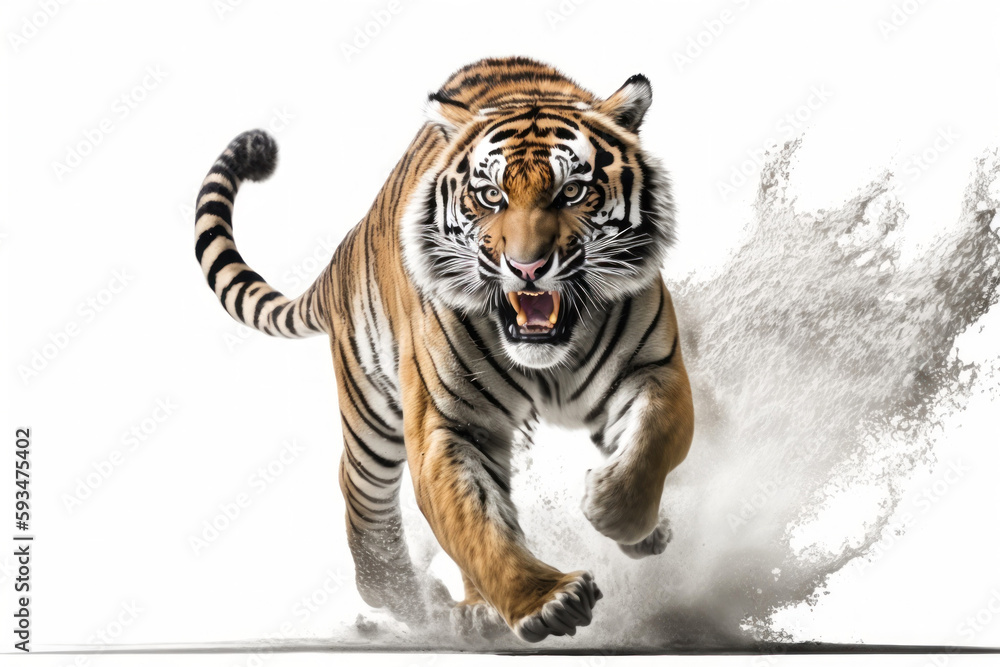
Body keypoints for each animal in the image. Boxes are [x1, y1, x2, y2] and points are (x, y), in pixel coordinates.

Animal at [193, 57, 694, 643]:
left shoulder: (651, 368)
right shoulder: (448, 422)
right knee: (360, 499)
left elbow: (652, 443)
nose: (527, 267)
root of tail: (342, 254)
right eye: (491, 196)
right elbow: (474, 523)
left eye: (572, 192)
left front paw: (616, 515)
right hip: (369, 419)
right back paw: (415, 602)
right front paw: (548, 601)